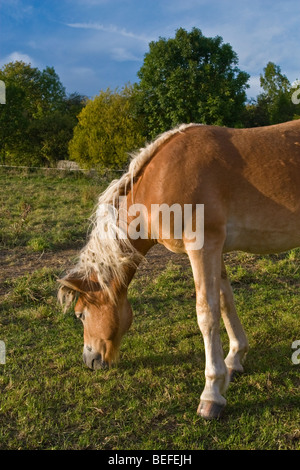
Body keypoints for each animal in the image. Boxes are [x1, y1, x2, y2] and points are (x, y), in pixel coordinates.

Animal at [58, 119, 300, 420]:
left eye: (80, 315)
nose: (89, 360)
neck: (161, 179)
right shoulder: (216, 251)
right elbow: (225, 302)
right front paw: (234, 359)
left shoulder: (202, 247)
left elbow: (206, 314)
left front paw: (211, 393)